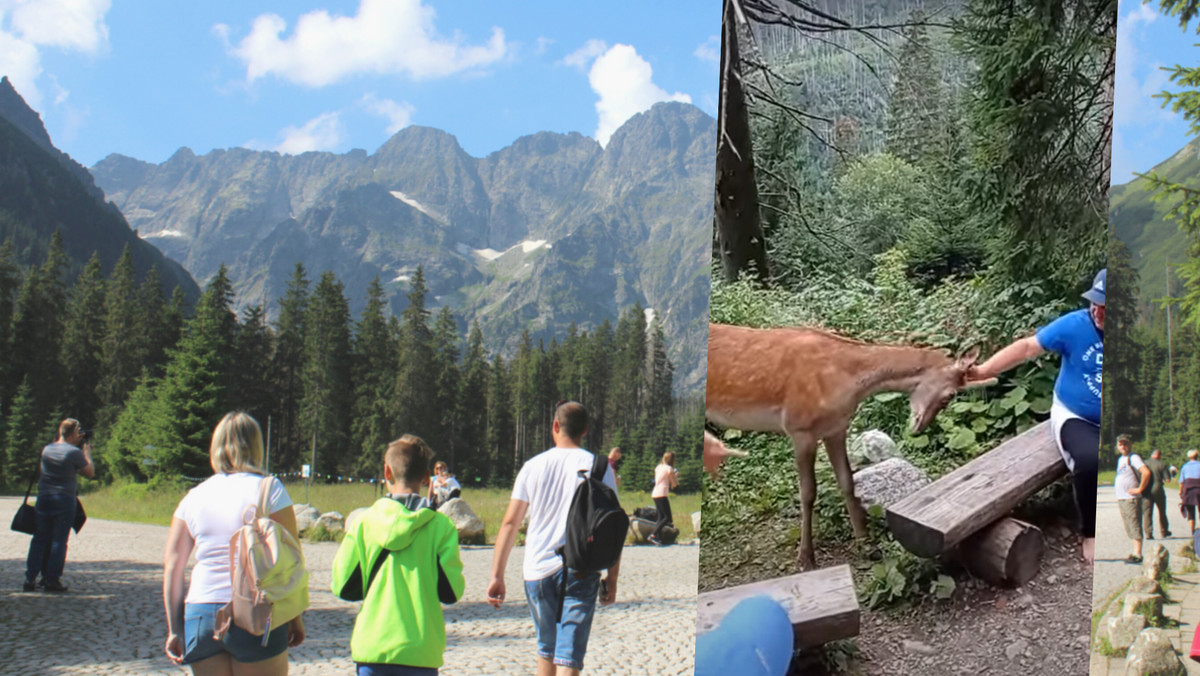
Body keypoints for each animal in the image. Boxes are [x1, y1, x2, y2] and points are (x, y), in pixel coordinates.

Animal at [700, 324, 984, 569]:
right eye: (950, 396)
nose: (919, 428)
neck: (844, 380)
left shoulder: (836, 428)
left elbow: (847, 481)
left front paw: (866, 544)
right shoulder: (799, 428)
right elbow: (808, 492)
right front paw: (806, 558)